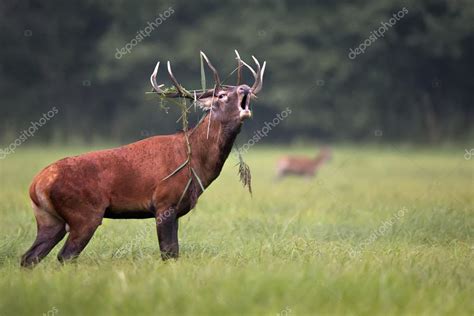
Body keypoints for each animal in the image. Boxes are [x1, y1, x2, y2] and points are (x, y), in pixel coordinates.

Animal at [21, 51, 266, 266]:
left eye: (240, 89)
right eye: (222, 96)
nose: (245, 87)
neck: (196, 164)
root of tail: (37, 184)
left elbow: (174, 252)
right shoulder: (164, 202)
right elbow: (169, 253)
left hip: (48, 218)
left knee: (29, 257)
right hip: (84, 214)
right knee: (65, 256)